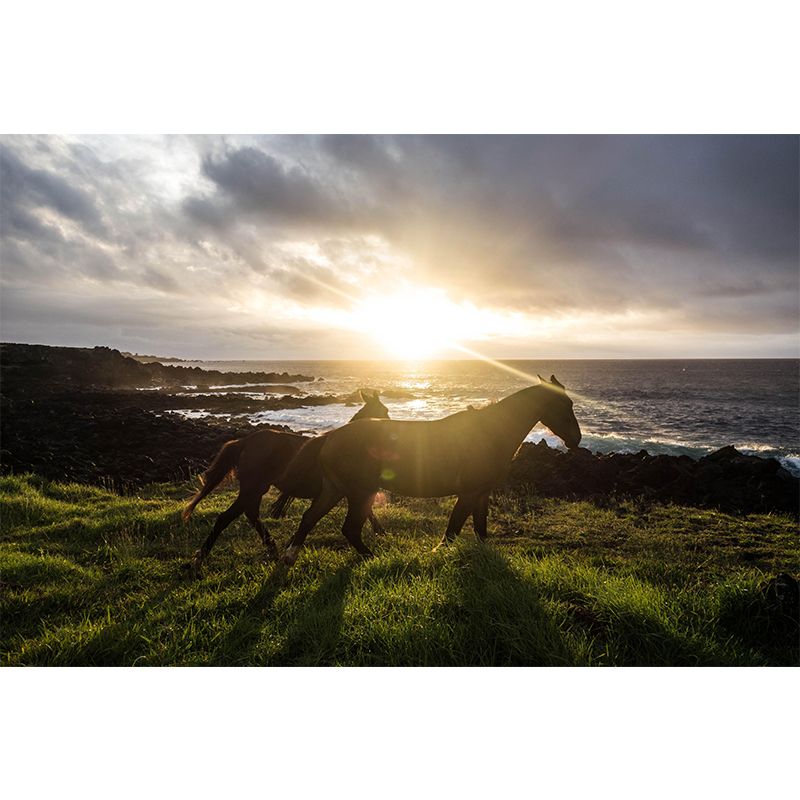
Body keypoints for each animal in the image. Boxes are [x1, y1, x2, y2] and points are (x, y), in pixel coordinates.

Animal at [182, 390, 389, 571]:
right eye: (385, 410)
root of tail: (245, 442)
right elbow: (364, 511)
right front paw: (380, 531)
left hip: (257, 489)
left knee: (251, 514)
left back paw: (272, 547)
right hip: (252, 487)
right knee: (226, 517)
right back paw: (200, 558)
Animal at [281, 375, 581, 566]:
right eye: (564, 404)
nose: (576, 440)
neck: (490, 431)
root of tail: (330, 436)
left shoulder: (482, 493)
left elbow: (481, 530)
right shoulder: (468, 493)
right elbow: (453, 530)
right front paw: (437, 555)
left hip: (335, 489)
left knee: (309, 518)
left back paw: (290, 556)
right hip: (360, 492)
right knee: (350, 529)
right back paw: (372, 558)